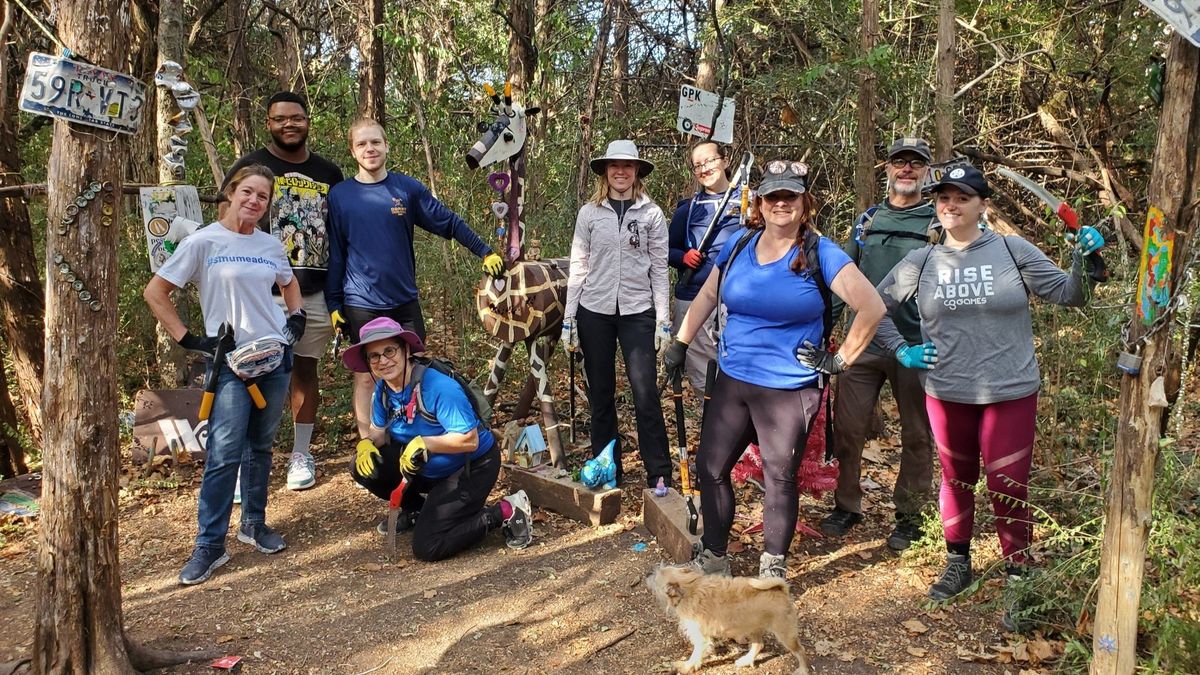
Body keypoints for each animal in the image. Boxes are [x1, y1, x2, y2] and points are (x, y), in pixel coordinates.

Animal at [652, 564, 811, 667]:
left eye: (655, 577)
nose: (648, 573)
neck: (690, 588)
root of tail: (781, 590)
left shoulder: (701, 639)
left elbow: (696, 654)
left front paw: (686, 667)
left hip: (785, 634)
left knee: (801, 651)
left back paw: (802, 670)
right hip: (752, 628)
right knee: (758, 645)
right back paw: (745, 661)